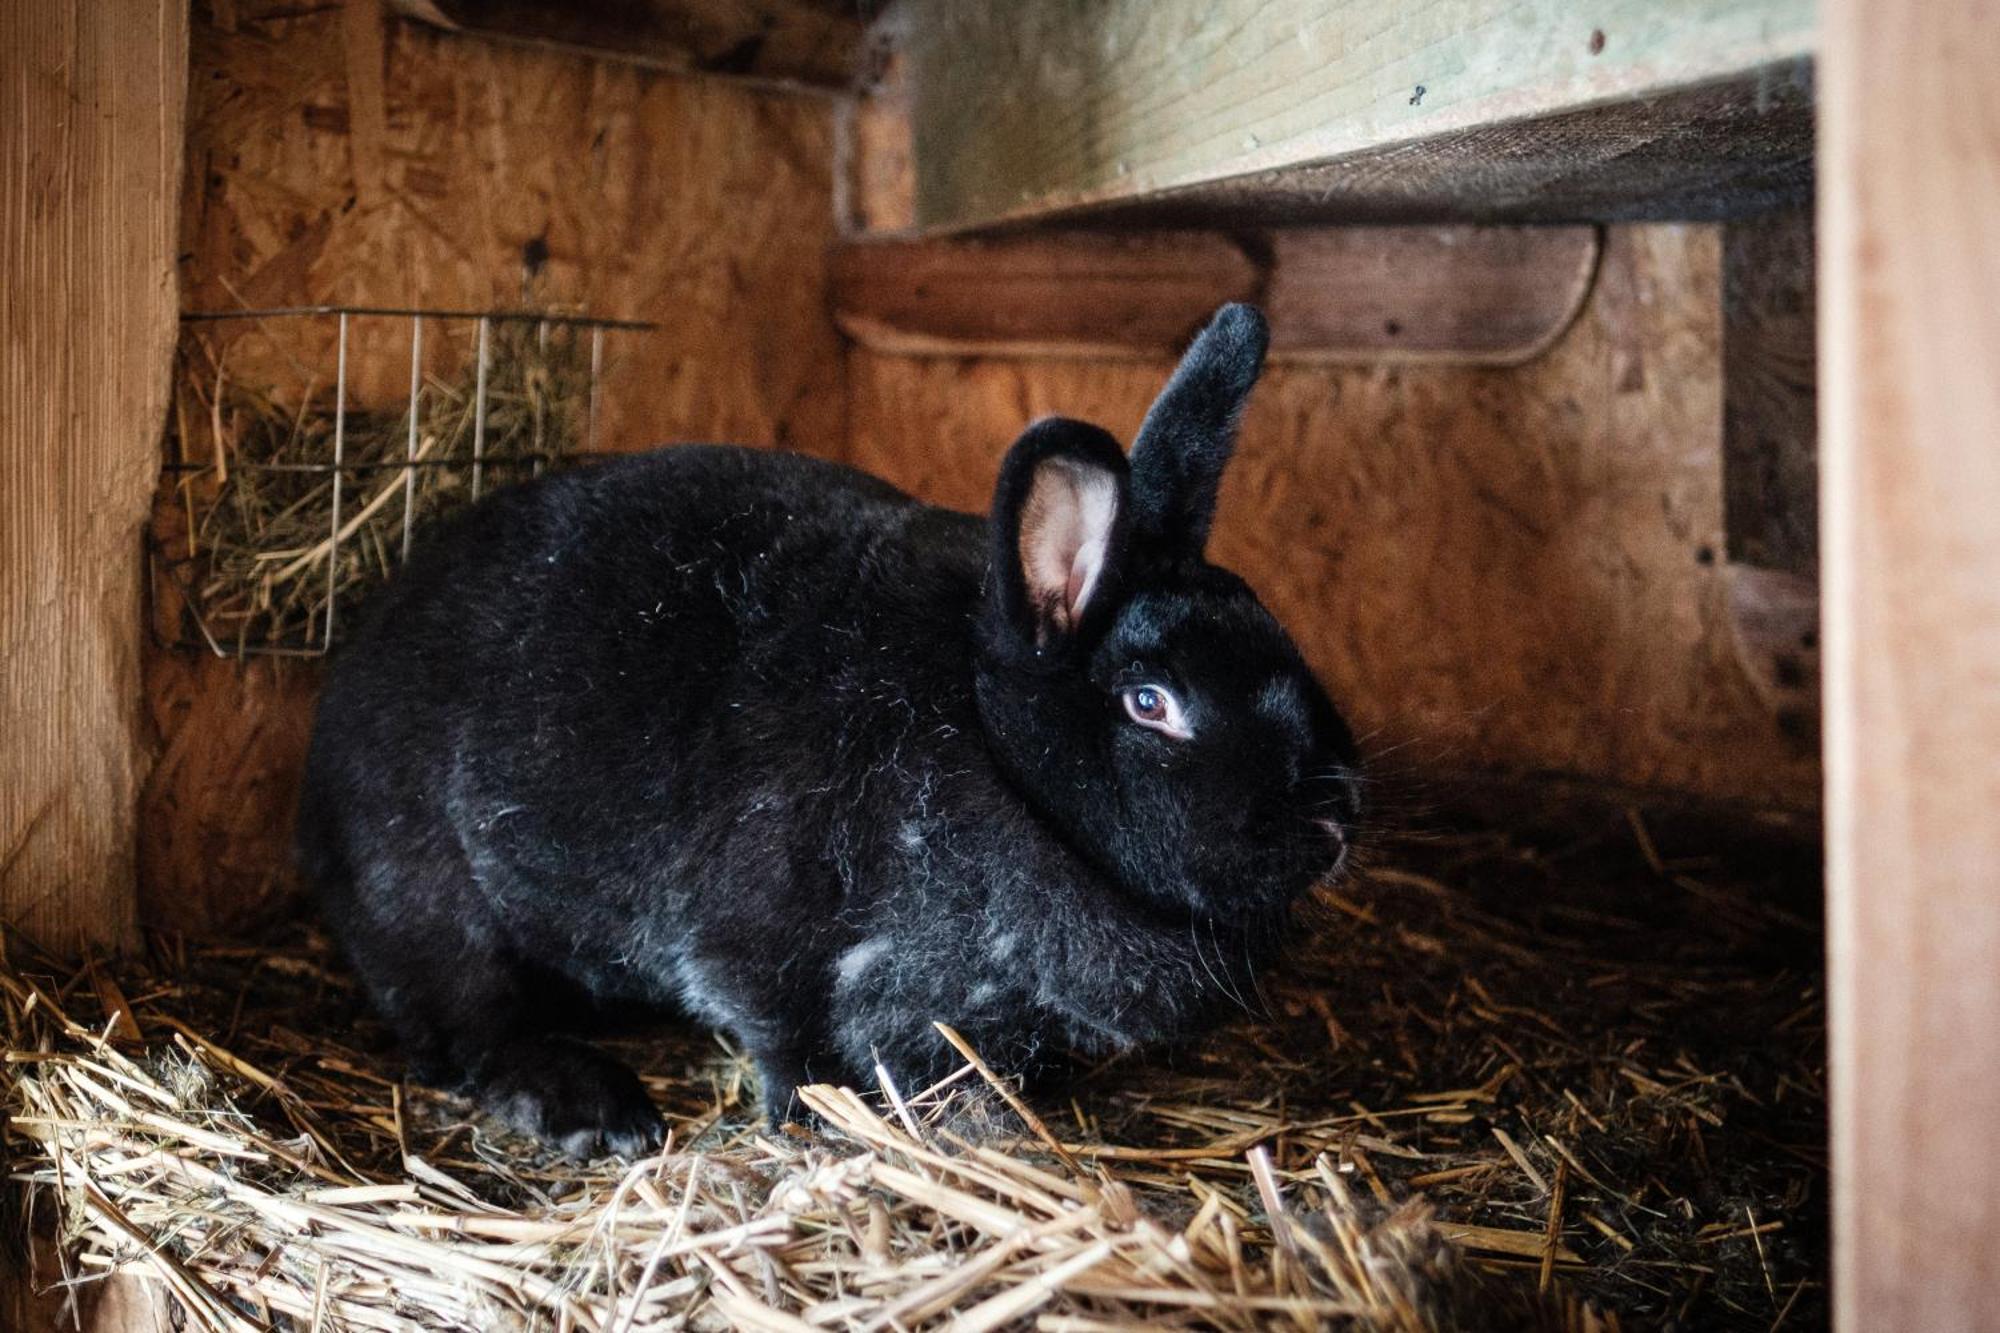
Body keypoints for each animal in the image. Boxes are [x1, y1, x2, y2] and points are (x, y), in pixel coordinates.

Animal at [296, 300, 1360, 1152]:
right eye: (1151, 703)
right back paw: (592, 1107)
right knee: (467, 1028)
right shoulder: (756, 940)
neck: (991, 746)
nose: (1336, 815)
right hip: (433, 899)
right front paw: (816, 1117)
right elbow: (784, 1034)